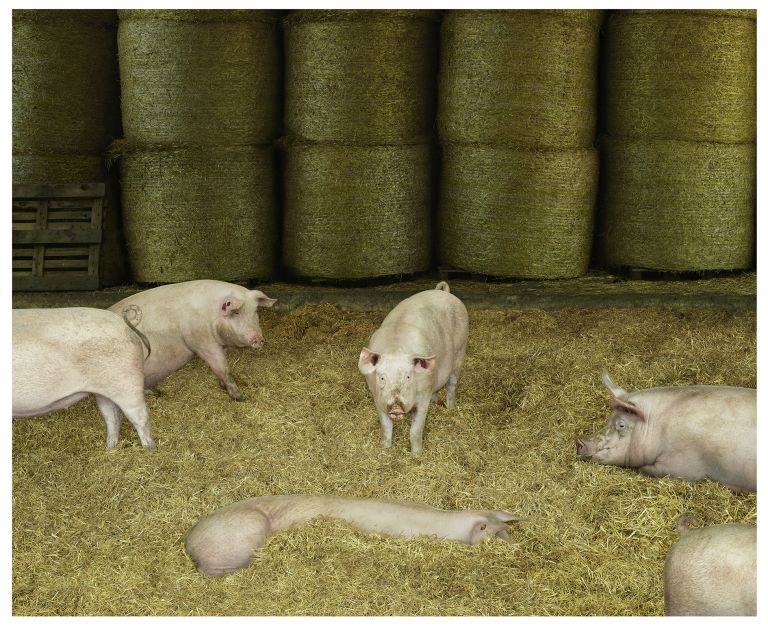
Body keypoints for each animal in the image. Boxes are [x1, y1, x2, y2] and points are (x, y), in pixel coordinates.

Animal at [12, 306, 156, 450]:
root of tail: (123, 323)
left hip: (128, 385)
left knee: (141, 417)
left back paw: (150, 449)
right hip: (105, 392)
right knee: (113, 417)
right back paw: (109, 448)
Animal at [109, 280, 276, 401]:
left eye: (255, 311)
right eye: (236, 312)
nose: (258, 339)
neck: (210, 314)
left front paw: (223, 386)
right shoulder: (202, 342)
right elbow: (224, 369)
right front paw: (241, 397)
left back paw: (157, 392)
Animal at [357, 281, 469, 455]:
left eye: (408, 377)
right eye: (382, 378)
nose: (396, 407)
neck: (395, 349)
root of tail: (444, 292)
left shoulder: (423, 396)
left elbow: (416, 430)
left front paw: (417, 454)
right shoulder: (376, 396)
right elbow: (386, 426)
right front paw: (385, 448)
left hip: (460, 351)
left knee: (452, 384)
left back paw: (450, 408)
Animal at [576, 372, 756, 492]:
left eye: (621, 425)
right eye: (608, 420)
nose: (579, 441)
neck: (658, 429)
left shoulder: (685, 466)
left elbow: (646, 469)